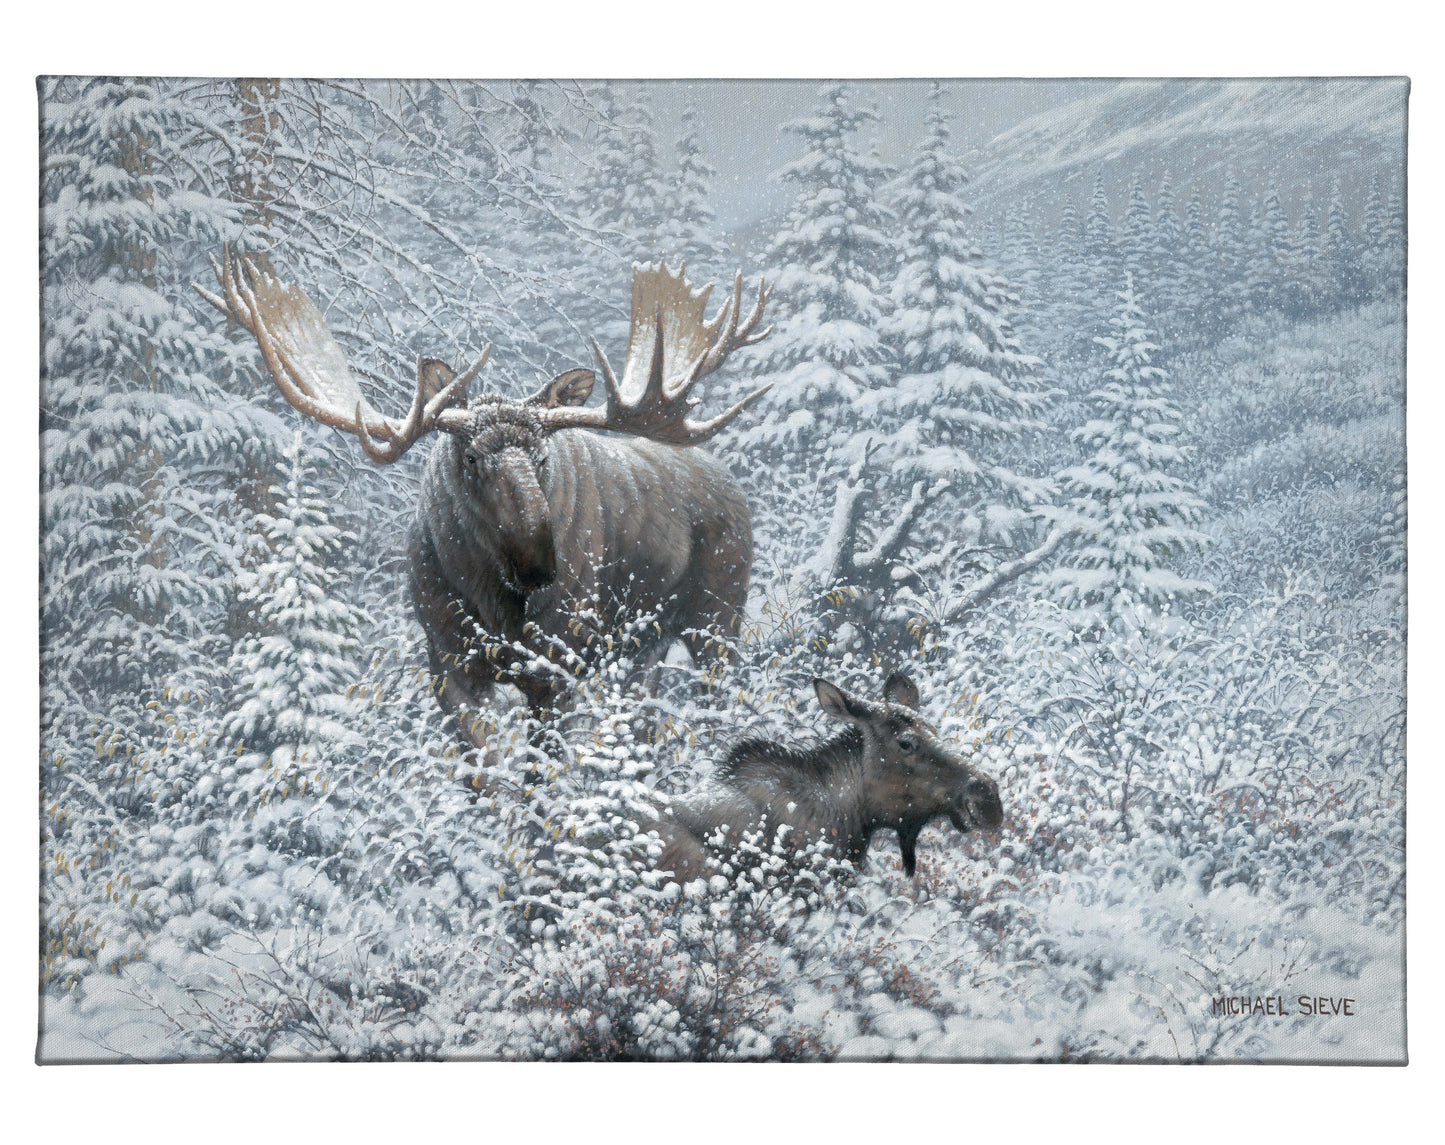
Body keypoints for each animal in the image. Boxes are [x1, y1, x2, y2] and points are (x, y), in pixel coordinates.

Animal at [196, 250, 773, 743]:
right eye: (471, 458)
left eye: (542, 457)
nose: (539, 564)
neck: (490, 603)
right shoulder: (446, 662)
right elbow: (484, 774)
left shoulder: (555, 665)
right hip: (644, 645)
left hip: (718, 615)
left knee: (721, 702)